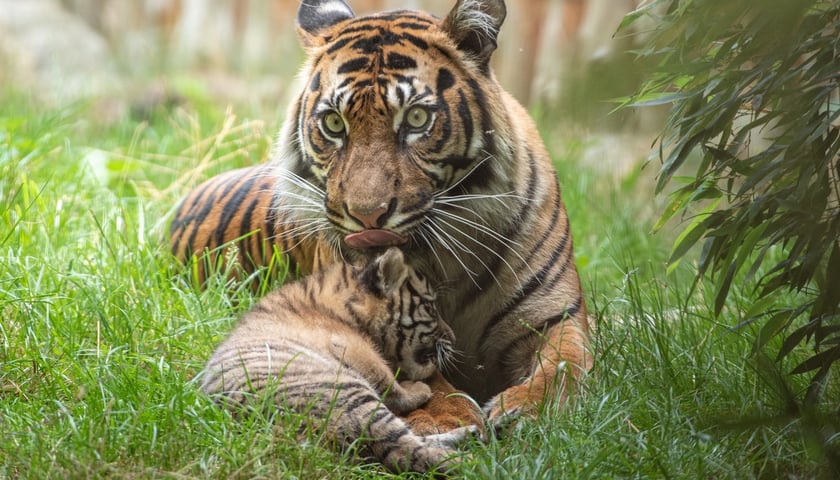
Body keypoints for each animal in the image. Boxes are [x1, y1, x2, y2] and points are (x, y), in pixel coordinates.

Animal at [171, 0, 592, 428]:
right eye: (334, 123)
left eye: (417, 119)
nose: (367, 216)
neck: (443, 261)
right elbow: (415, 365)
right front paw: (452, 416)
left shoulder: (555, 316)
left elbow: (566, 364)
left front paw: (529, 410)